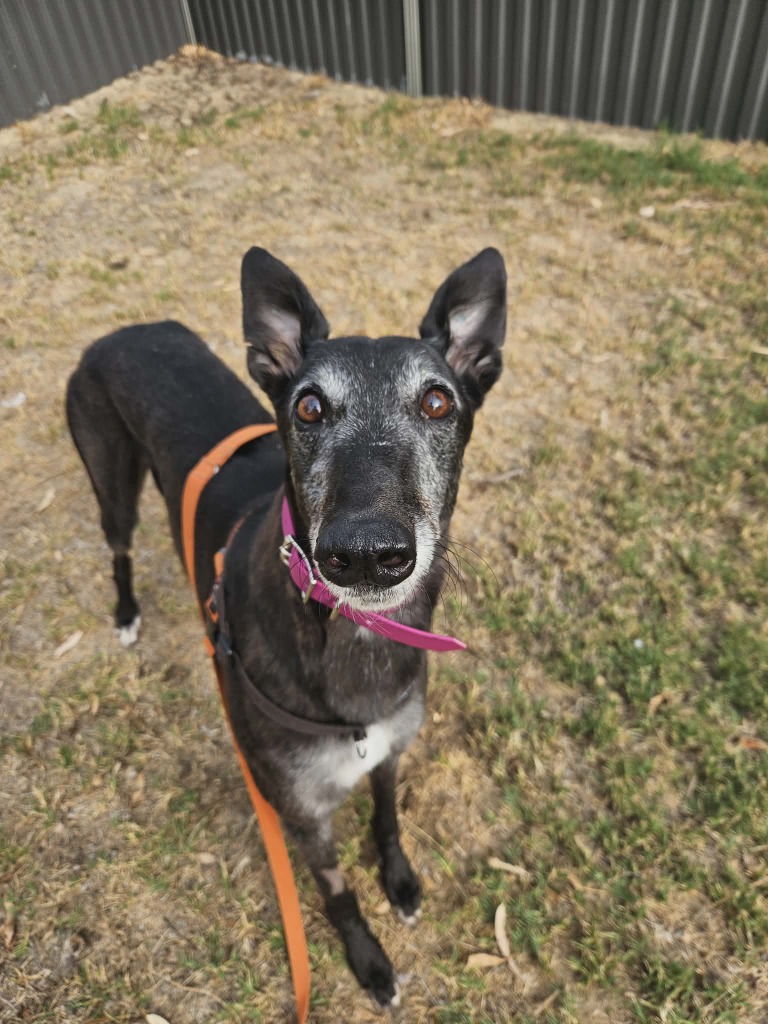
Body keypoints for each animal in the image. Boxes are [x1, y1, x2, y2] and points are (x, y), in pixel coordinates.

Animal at [66, 246, 507, 1007]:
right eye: (308, 405)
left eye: (438, 401)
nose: (365, 553)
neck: (353, 646)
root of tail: (125, 329)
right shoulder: (300, 813)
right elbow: (335, 893)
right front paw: (370, 962)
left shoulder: (390, 749)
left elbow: (388, 817)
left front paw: (400, 882)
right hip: (111, 485)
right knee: (118, 549)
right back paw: (126, 615)